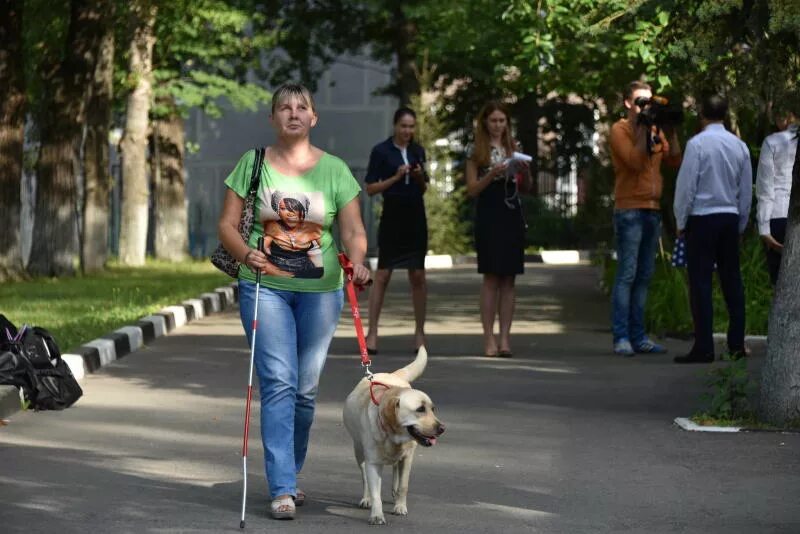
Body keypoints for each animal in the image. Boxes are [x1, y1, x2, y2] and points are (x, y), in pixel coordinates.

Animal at [342, 348, 446, 528]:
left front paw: (400, 507)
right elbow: (375, 491)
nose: (442, 429)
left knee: (396, 472)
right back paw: (366, 498)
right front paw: (377, 515)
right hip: (358, 451)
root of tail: (392, 375)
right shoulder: (372, 463)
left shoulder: (407, 458)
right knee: (364, 477)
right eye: (420, 409)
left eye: (432, 409)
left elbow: (403, 485)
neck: (392, 436)